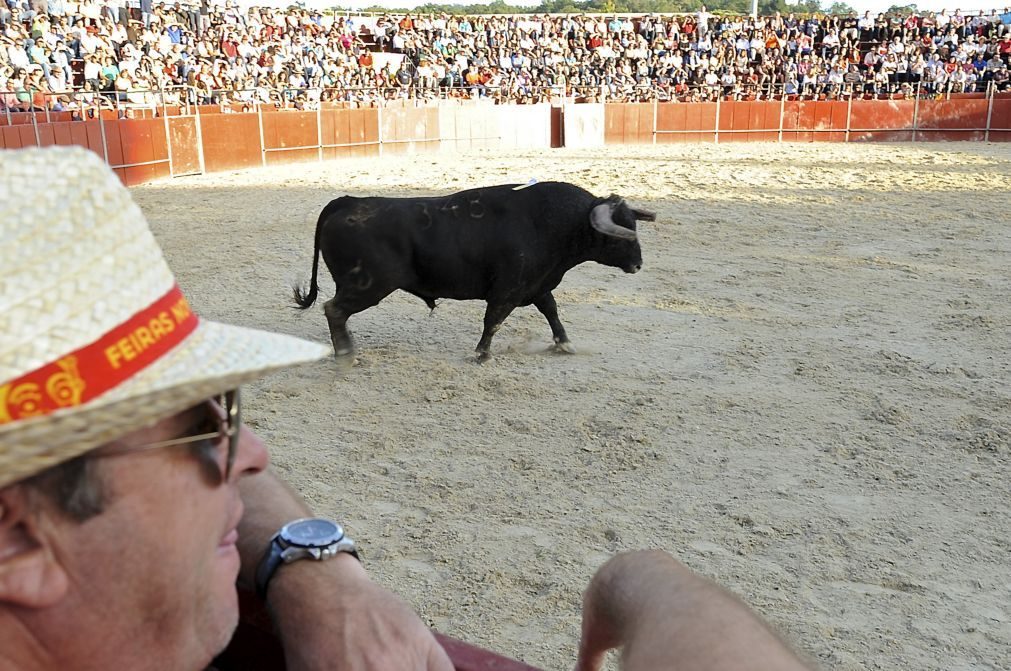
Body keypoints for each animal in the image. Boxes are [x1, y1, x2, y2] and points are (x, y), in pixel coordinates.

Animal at [293, 180, 655, 359]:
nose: (638, 264)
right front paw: (482, 354)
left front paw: (564, 344)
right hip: (368, 286)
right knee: (334, 310)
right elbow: (493, 320)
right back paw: (346, 353)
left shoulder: (537, 285)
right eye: (621, 235)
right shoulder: (507, 290)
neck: (553, 223)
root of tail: (348, 201)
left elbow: (552, 311)